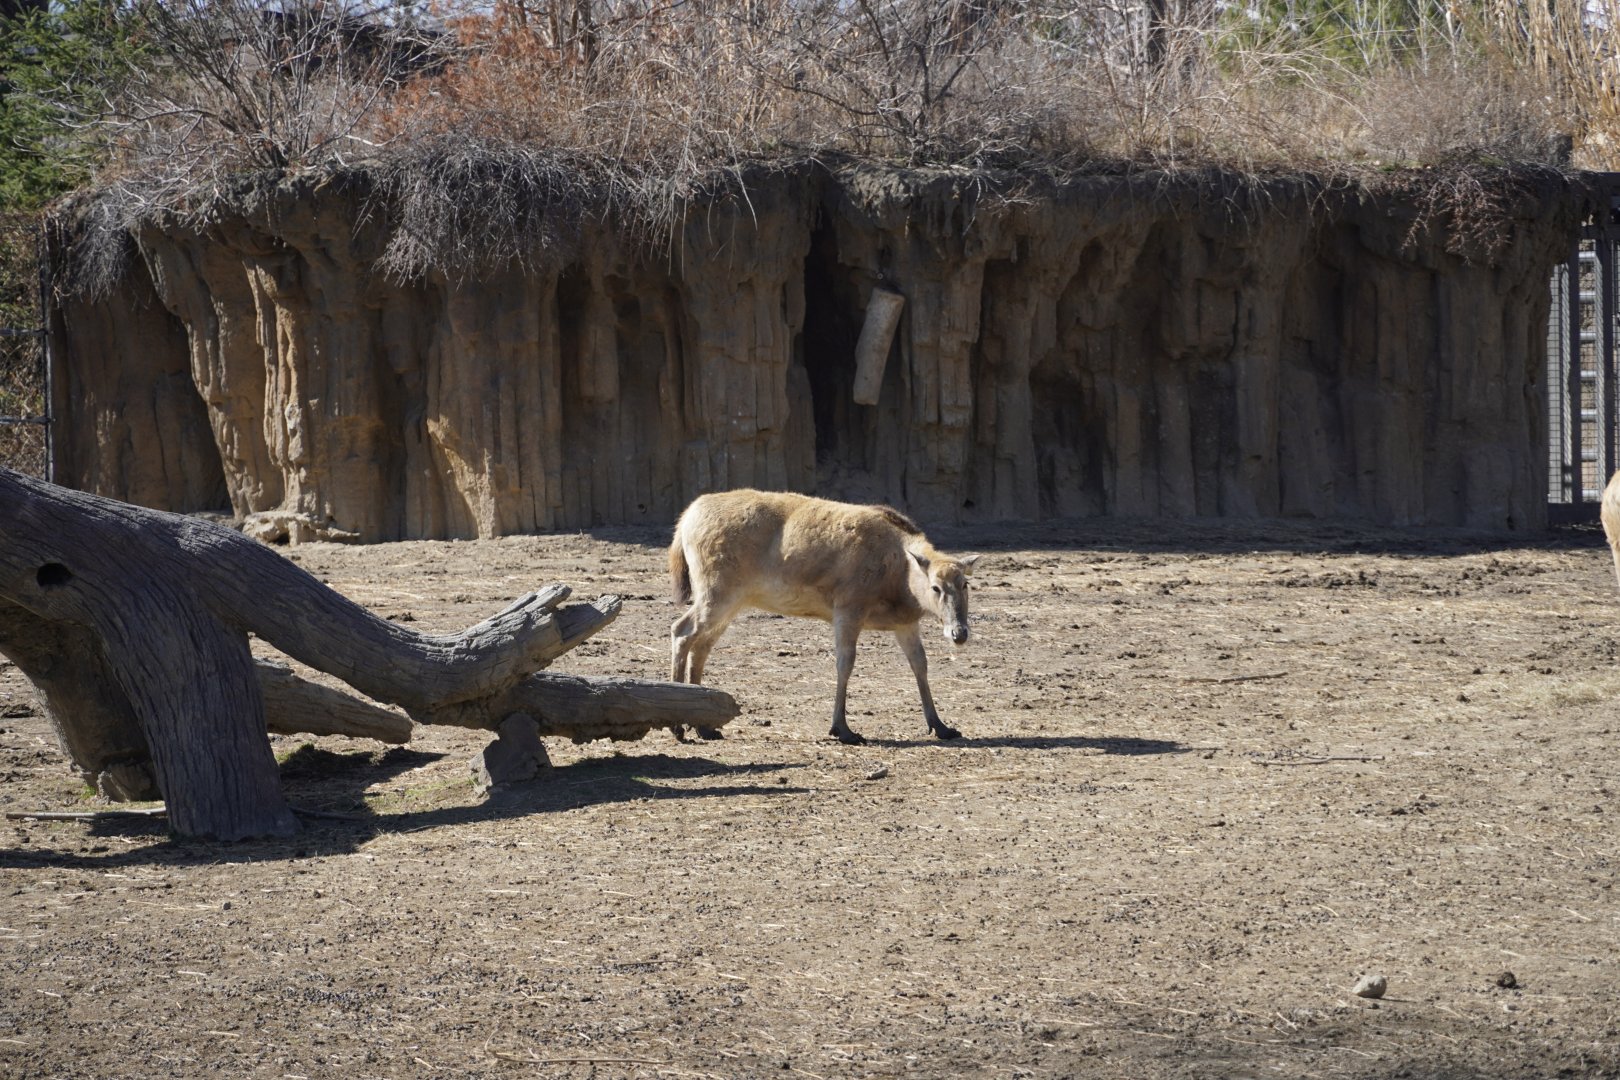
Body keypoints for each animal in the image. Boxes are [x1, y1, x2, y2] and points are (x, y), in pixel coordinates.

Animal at [668, 489, 980, 745]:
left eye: (965, 584)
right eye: (936, 587)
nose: (959, 633)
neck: (898, 576)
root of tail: (685, 519)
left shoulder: (904, 623)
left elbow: (920, 664)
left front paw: (942, 726)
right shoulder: (848, 609)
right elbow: (845, 663)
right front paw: (843, 729)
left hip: (731, 600)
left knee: (702, 645)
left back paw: (704, 727)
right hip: (716, 591)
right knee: (681, 630)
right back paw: (678, 727)